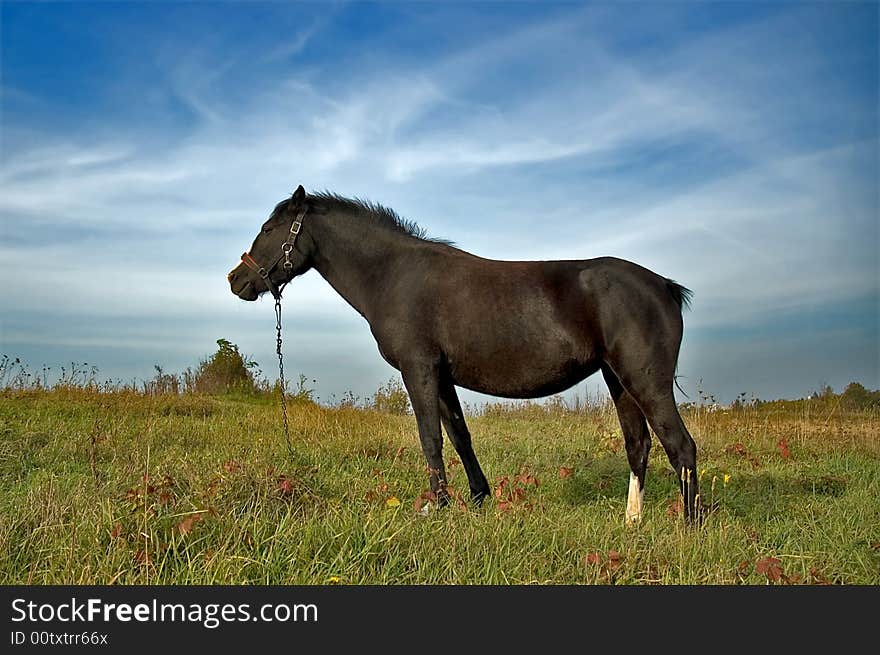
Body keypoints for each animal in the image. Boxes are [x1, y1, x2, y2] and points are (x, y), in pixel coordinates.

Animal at [229, 184, 700, 524]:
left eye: (268, 229)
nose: (237, 279)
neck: (393, 275)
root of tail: (664, 286)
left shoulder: (419, 368)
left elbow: (430, 436)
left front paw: (435, 505)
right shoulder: (441, 376)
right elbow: (458, 434)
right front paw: (476, 498)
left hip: (645, 382)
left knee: (681, 446)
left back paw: (690, 524)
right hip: (618, 380)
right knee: (639, 444)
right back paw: (632, 520)